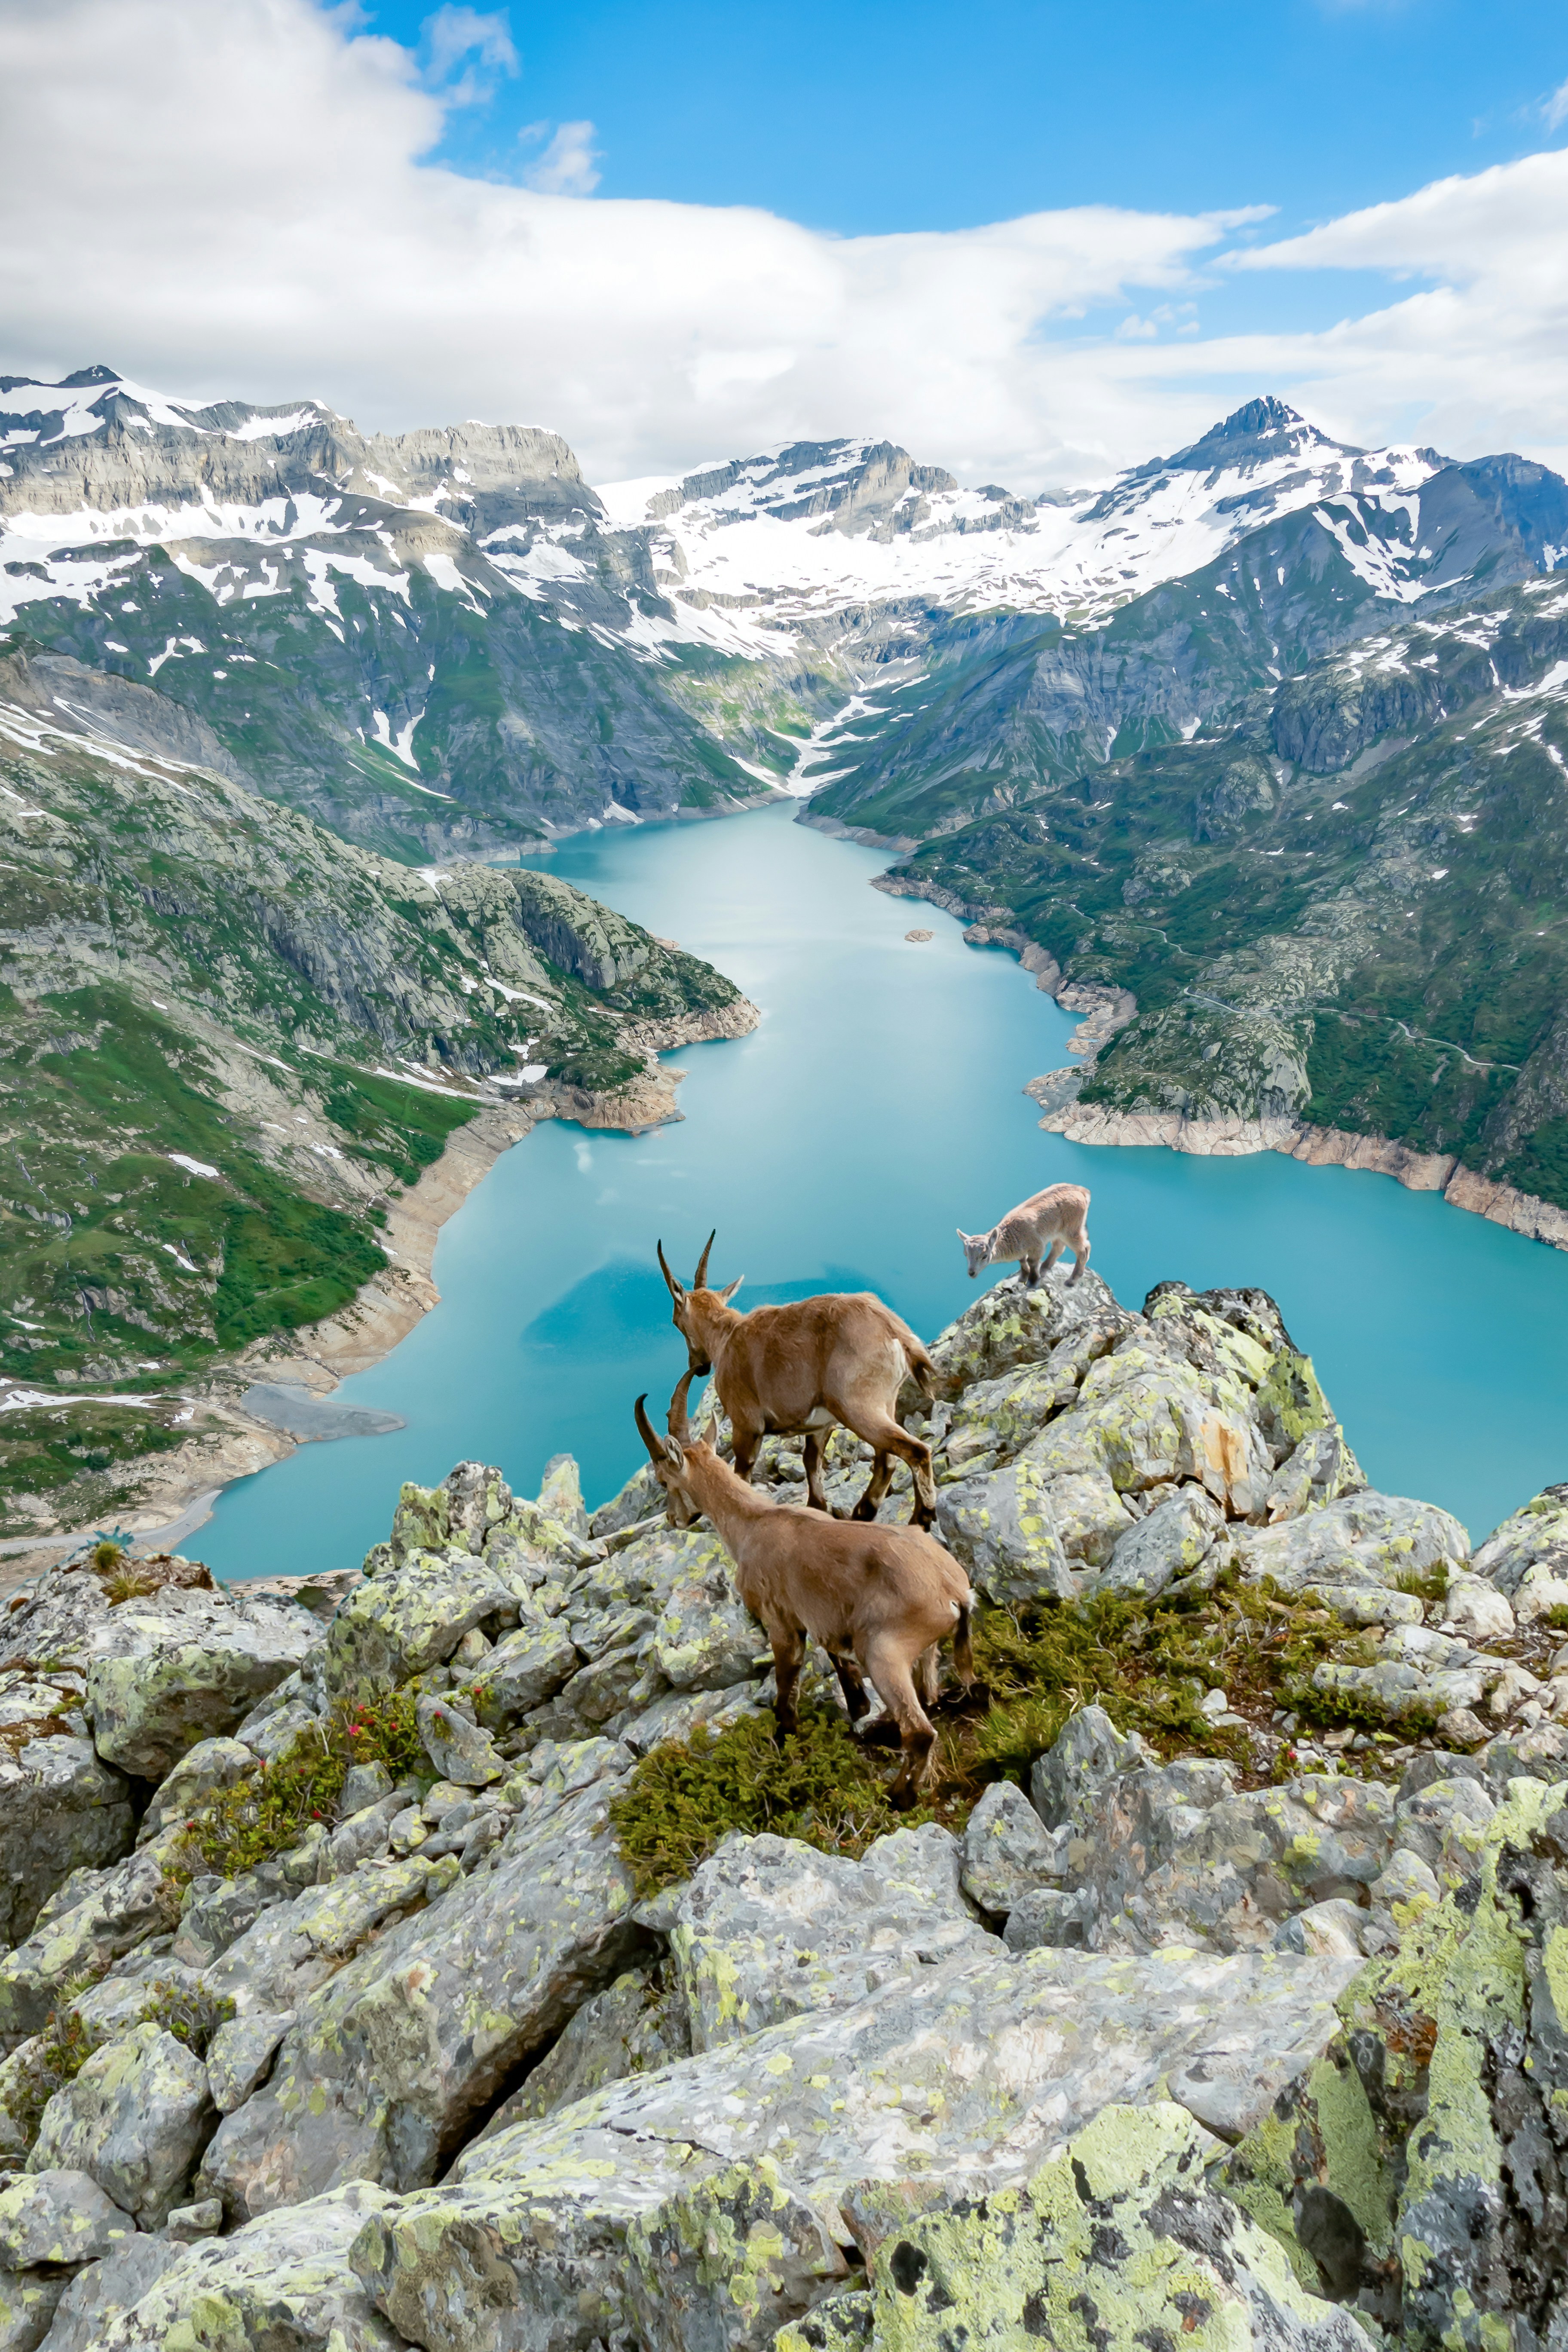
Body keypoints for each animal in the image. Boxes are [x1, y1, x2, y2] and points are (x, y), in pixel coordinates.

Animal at [634, 1374, 979, 1803]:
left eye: (664, 1479)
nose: (673, 1518)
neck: (754, 1522)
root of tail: (956, 1592)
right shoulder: (822, 1624)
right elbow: (843, 1672)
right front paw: (856, 1712)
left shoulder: (782, 1622)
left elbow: (786, 1693)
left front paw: (784, 1747)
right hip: (925, 1651)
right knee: (929, 1700)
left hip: (885, 1651)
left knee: (919, 1732)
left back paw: (898, 1796)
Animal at [656, 1232, 938, 1529]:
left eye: (676, 1321)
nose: (697, 1366)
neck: (726, 1338)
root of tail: (896, 1332)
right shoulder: (819, 1425)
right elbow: (811, 1463)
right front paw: (817, 1507)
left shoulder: (747, 1425)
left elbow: (742, 1472)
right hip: (885, 1404)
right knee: (888, 1460)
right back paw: (864, 1511)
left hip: (858, 1408)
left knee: (916, 1451)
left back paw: (920, 1518)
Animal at [957, 1182, 1092, 1289]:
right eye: (965, 1254)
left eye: (985, 1256)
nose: (971, 1273)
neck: (1011, 1233)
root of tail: (1083, 1191)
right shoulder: (1022, 1248)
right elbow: (1022, 1260)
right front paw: (1023, 1278)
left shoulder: (1037, 1245)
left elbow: (1032, 1261)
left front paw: (1032, 1283)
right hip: (1058, 1231)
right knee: (1059, 1247)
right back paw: (1044, 1269)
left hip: (1071, 1229)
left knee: (1084, 1249)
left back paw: (1072, 1281)